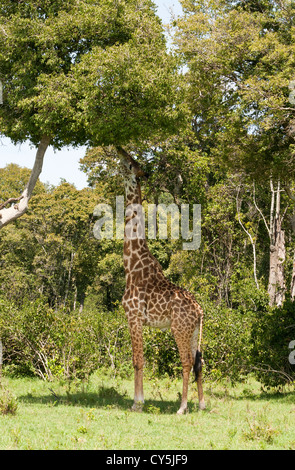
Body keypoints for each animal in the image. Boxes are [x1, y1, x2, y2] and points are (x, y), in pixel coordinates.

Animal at [118, 148, 206, 414]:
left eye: (131, 164)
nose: (118, 150)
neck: (131, 267)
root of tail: (200, 311)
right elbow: (139, 359)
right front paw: (139, 401)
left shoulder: (134, 317)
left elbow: (137, 360)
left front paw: (137, 403)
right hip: (194, 331)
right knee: (199, 362)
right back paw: (201, 404)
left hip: (180, 329)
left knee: (186, 362)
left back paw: (182, 407)